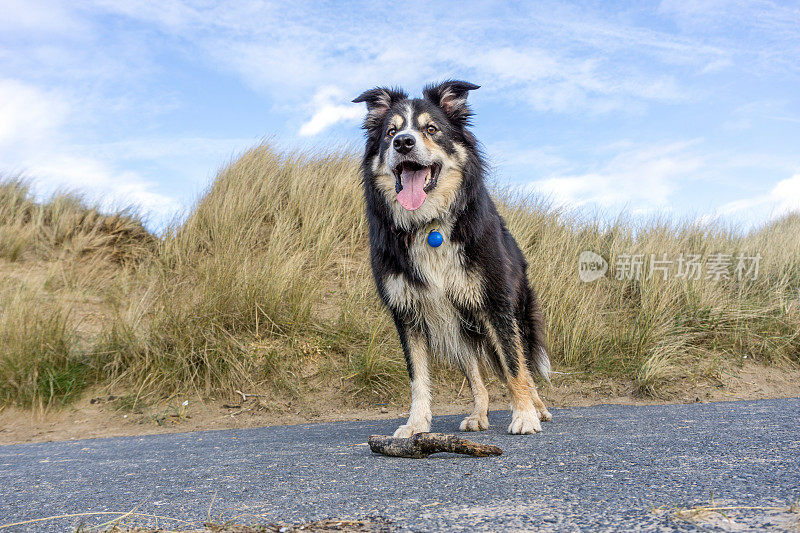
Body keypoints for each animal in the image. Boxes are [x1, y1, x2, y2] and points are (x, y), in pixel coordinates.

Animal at [354, 81, 552, 434]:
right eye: (391, 132)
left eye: (431, 129)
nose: (403, 143)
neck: (429, 225)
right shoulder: (408, 313)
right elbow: (418, 379)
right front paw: (416, 424)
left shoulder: (496, 304)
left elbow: (515, 366)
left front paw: (524, 416)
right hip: (460, 330)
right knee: (478, 378)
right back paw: (478, 415)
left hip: (513, 315)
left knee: (524, 367)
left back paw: (537, 408)